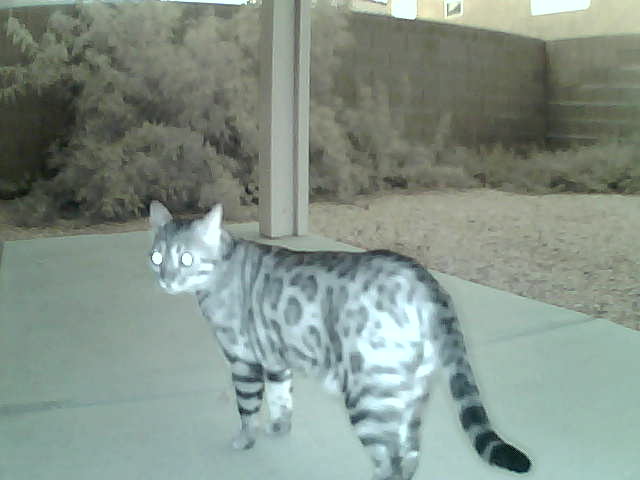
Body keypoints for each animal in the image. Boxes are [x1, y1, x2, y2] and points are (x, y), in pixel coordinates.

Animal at [148, 201, 531, 480]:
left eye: (186, 258)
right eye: (157, 257)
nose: (165, 279)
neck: (219, 271)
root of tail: (426, 282)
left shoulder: (243, 361)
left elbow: (247, 408)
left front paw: (245, 439)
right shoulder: (275, 359)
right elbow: (281, 399)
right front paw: (279, 428)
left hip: (369, 398)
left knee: (390, 462)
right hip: (408, 395)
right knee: (409, 455)